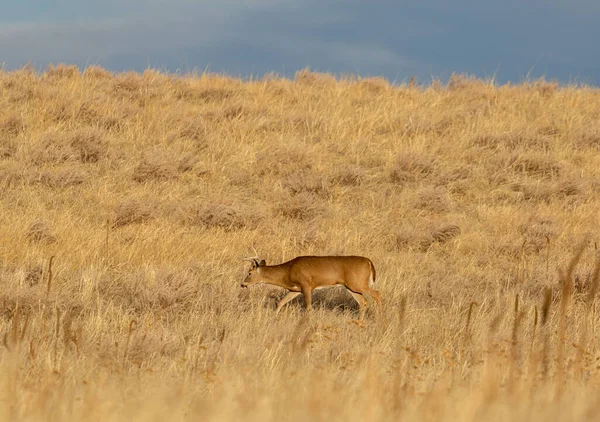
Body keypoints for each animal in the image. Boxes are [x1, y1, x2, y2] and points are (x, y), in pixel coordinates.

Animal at [238, 256, 380, 318]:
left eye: (249, 273)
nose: (243, 284)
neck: (287, 271)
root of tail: (369, 262)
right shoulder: (295, 289)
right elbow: (281, 302)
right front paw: (274, 317)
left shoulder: (306, 285)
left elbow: (308, 307)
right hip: (352, 287)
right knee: (364, 302)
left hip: (358, 284)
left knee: (377, 294)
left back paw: (380, 318)